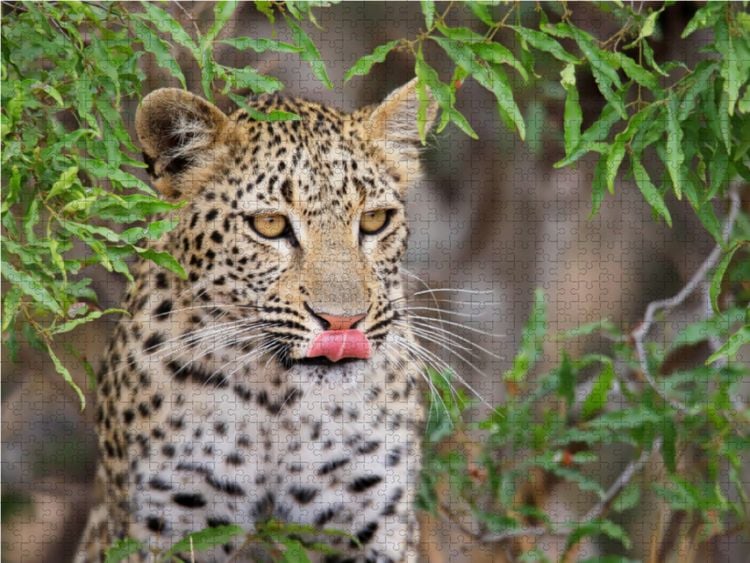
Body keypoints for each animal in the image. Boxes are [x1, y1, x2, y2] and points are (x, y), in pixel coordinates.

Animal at [75, 79, 439, 563]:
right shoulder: (162, 526)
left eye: (375, 220)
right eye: (269, 225)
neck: (278, 404)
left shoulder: (377, 520)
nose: (344, 322)